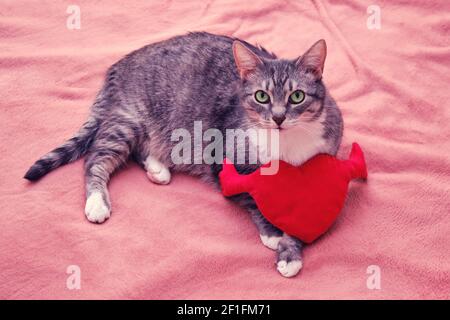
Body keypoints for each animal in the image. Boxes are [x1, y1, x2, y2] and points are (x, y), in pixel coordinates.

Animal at [24, 32, 342, 278]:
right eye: (261, 96)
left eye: (297, 96)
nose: (277, 118)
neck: (286, 147)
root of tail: (118, 66)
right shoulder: (224, 165)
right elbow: (254, 199)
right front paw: (274, 234)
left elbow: (302, 216)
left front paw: (290, 251)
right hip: (129, 120)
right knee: (97, 157)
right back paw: (97, 202)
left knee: (141, 150)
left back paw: (158, 168)